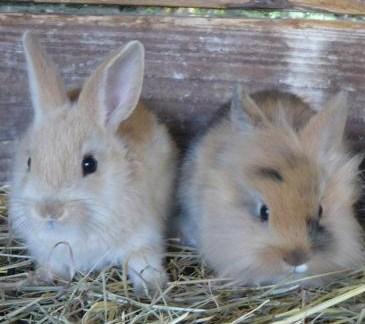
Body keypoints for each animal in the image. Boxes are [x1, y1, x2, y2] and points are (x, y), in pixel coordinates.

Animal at [9, 33, 177, 296]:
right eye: (29, 161)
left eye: (90, 164)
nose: (49, 212)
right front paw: (38, 278)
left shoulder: (143, 238)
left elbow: (142, 261)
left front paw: (151, 287)